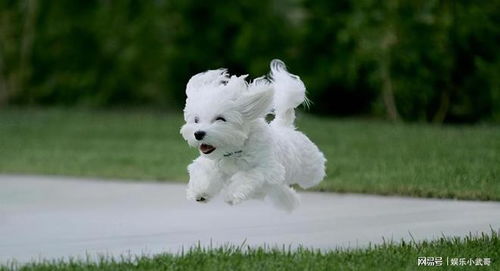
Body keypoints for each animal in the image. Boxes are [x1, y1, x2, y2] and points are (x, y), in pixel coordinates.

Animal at [182, 60, 326, 211]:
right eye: (196, 120)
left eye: (220, 119)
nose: (198, 133)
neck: (234, 151)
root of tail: (284, 125)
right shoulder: (212, 164)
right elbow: (204, 172)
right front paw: (200, 192)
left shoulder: (268, 169)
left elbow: (248, 176)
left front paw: (232, 194)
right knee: (281, 192)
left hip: (308, 168)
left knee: (312, 175)